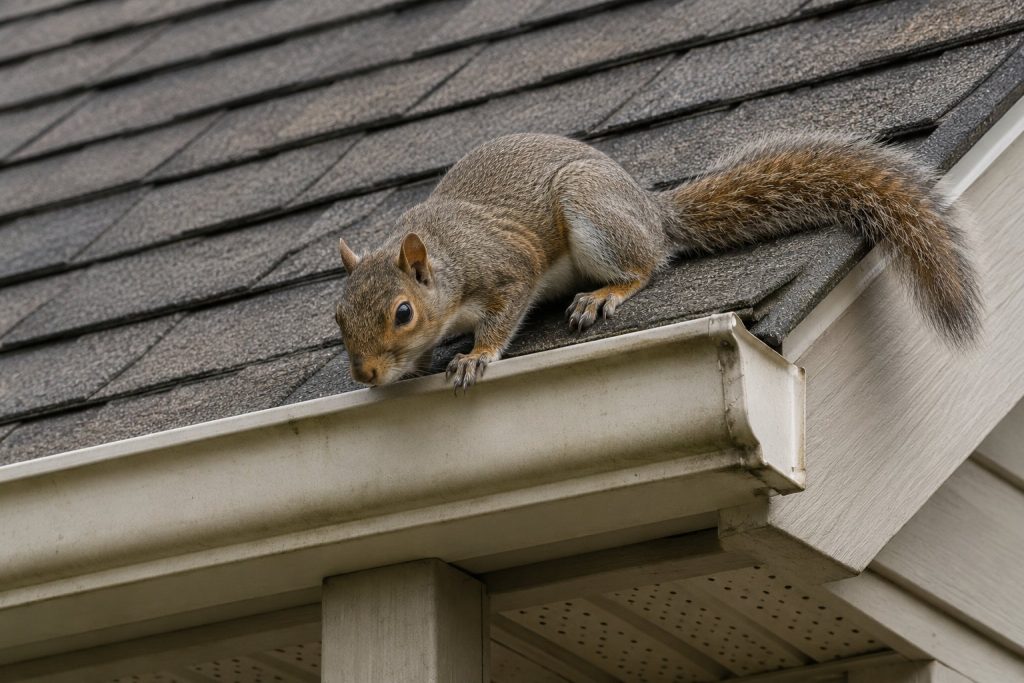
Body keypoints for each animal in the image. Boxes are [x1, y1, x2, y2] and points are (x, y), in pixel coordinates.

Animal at [334, 131, 980, 390]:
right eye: (338, 318)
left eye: (402, 313)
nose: (363, 375)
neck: (444, 259)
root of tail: (649, 212)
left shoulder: (505, 267)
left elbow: (503, 313)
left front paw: (474, 357)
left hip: (593, 213)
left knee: (644, 266)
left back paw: (604, 294)